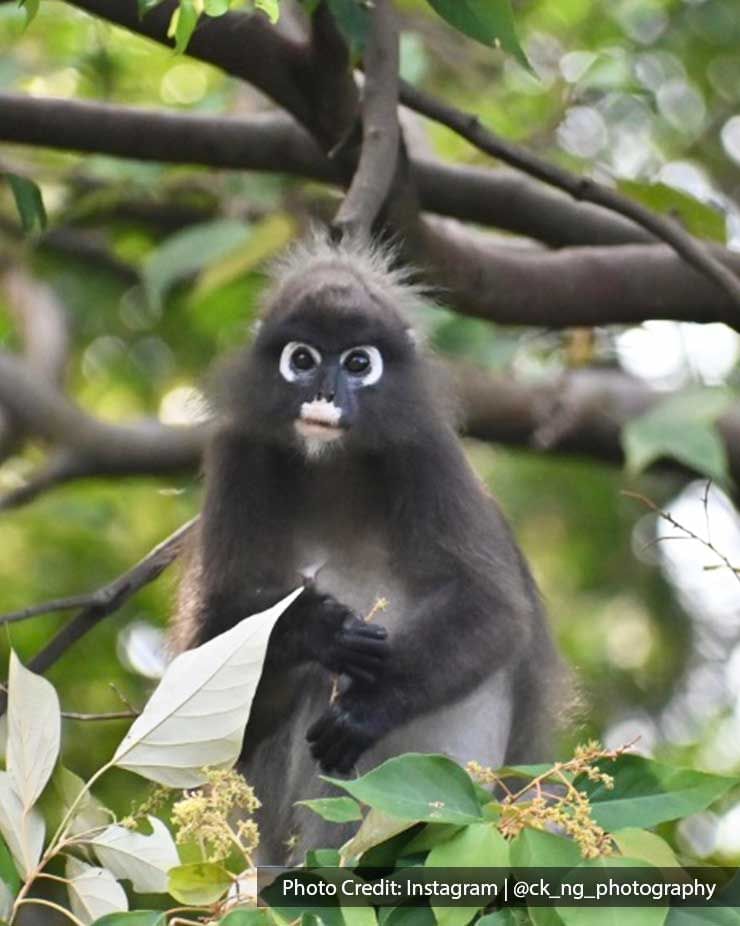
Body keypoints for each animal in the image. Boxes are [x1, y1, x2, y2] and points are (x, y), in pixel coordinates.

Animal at [172, 230, 560, 864]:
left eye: (359, 363)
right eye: (302, 359)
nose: (326, 393)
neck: (333, 467)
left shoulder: (425, 450)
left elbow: (493, 608)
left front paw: (366, 710)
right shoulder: (239, 452)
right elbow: (208, 649)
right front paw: (313, 628)